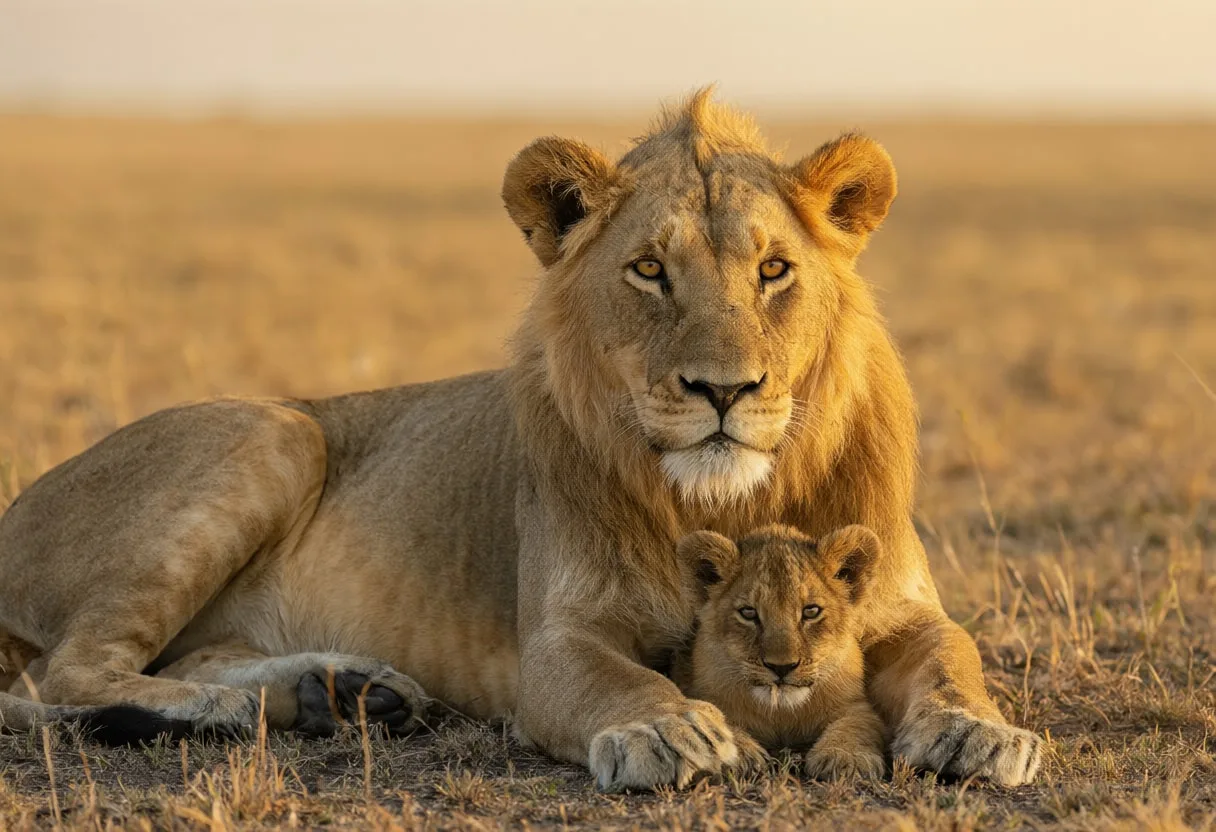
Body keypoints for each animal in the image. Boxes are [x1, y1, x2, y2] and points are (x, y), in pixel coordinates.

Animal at [671, 524, 887, 780]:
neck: (780, 714)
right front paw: (735, 756)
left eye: (811, 611)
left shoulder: (855, 704)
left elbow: (856, 724)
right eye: (748, 613)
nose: (781, 667)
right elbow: (710, 719)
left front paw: (846, 758)